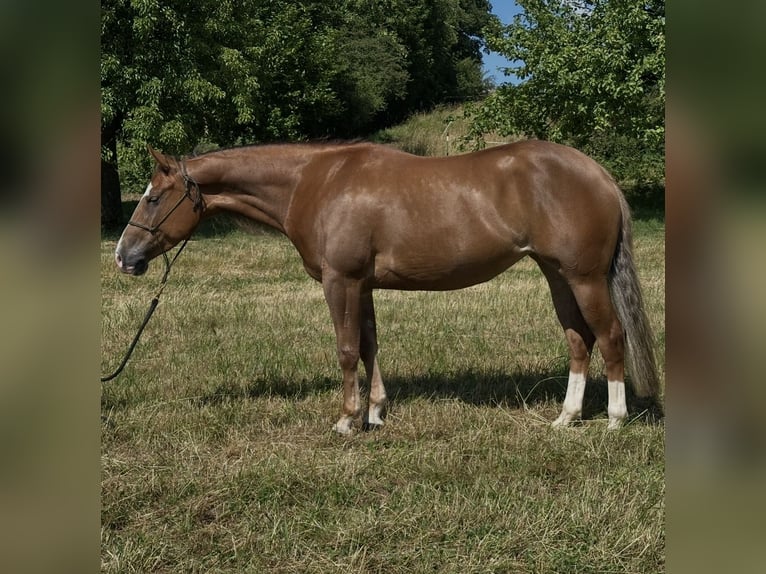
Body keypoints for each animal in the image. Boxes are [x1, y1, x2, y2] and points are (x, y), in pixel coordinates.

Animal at [114, 140, 660, 434]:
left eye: (154, 197)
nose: (124, 256)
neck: (316, 182)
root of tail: (599, 173)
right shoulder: (364, 285)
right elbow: (370, 345)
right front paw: (375, 414)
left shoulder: (341, 281)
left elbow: (346, 349)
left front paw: (346, 419)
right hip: (556, 275)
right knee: (578, 341)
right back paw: (566, 417)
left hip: (584, 278)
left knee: (610, 338)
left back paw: (614, 420)